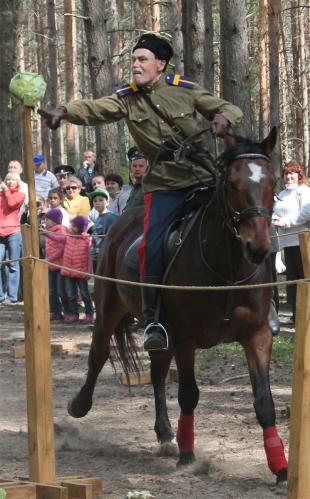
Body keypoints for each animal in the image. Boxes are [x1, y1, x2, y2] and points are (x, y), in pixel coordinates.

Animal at [68, 129, 288, 488]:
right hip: (110, 307)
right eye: (231, 183)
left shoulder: (257, 336)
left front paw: (280, 467)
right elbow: (188, 393)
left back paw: (165, 433)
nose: (258, 248)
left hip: (161, 330)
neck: (227, 266)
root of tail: (120, 223)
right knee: (99, 353)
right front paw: (188, 455)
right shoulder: (185, 337)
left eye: (273, 181)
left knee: (157, 372)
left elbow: (264, 402)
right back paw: (80, 404)